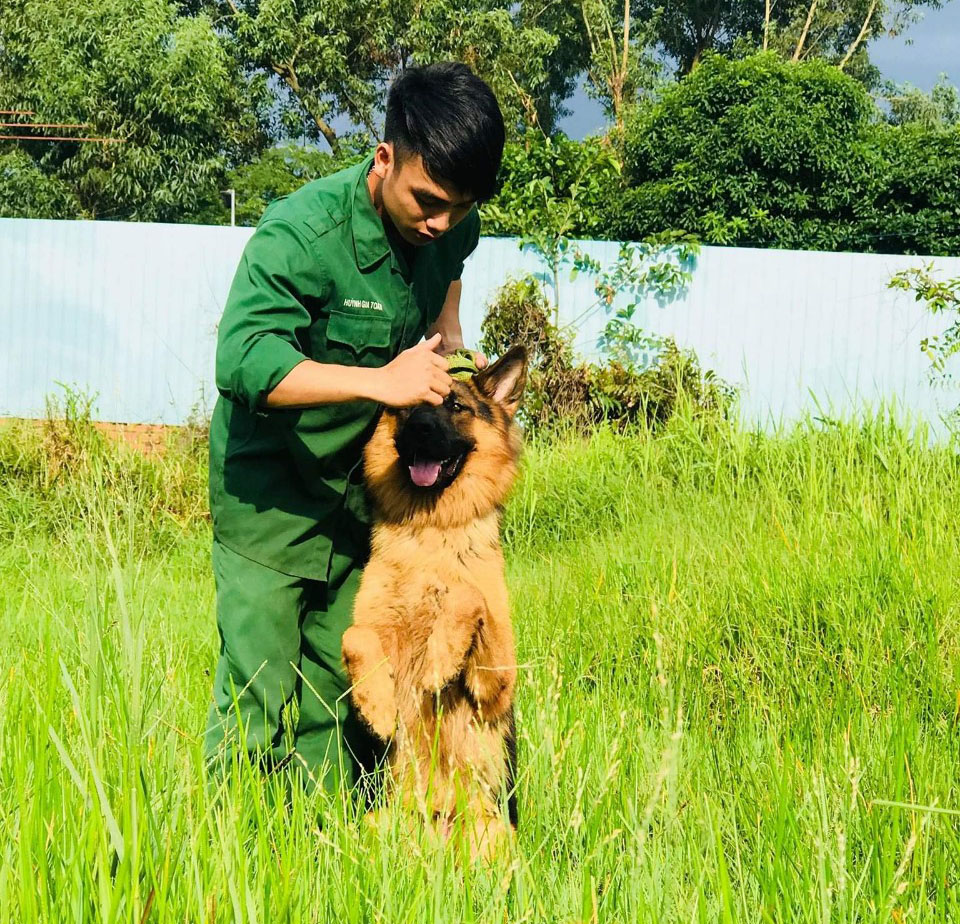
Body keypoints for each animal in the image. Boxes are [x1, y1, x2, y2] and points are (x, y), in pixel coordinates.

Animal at [342, 346, 528, 860]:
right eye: (407, 408)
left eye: (455, 406)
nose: (421, 430)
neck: (431, 531)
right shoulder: (368, 628)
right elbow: (355, 636)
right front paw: (376, 706)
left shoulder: (496, 684)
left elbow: (467, 593)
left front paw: (441, 659)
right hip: (376, 823)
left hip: (495, 835)